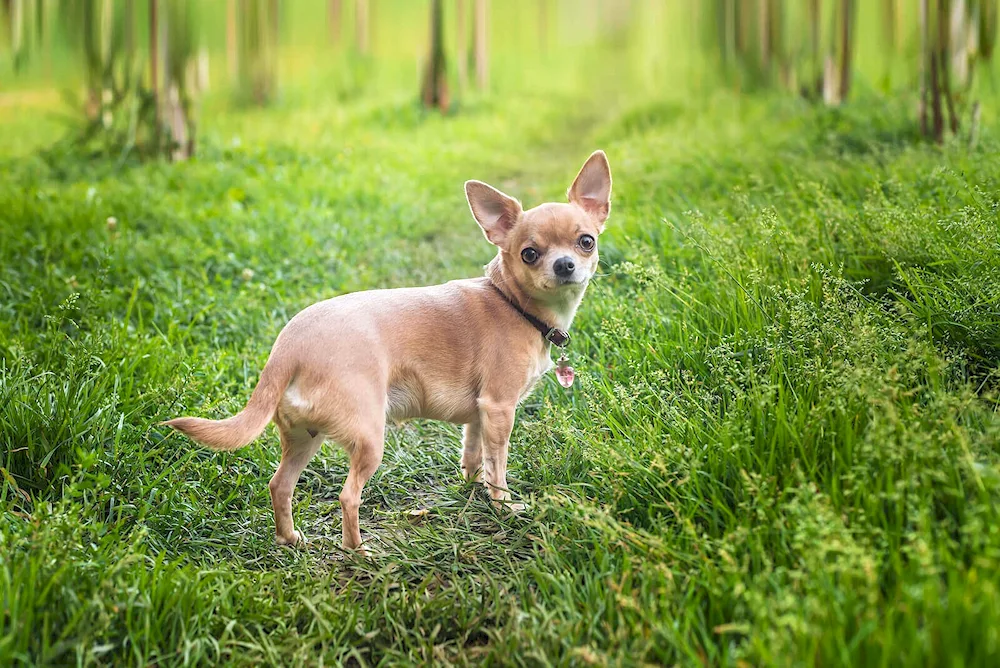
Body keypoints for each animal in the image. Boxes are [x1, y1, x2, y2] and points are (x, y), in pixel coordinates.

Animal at [166, 151, 608, 552]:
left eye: (586, 242)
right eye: (529, 254)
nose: (565, 265)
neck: (512, 302)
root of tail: (288, 346)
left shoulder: (481, 412)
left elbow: (473, 451)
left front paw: (470, 487)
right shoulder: (499, 408)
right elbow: (497, 466)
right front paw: (502, 506)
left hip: (303, 437)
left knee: (280, 484)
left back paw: (290, 538)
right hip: (368, 437)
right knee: (348, 496)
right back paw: (358, 551)